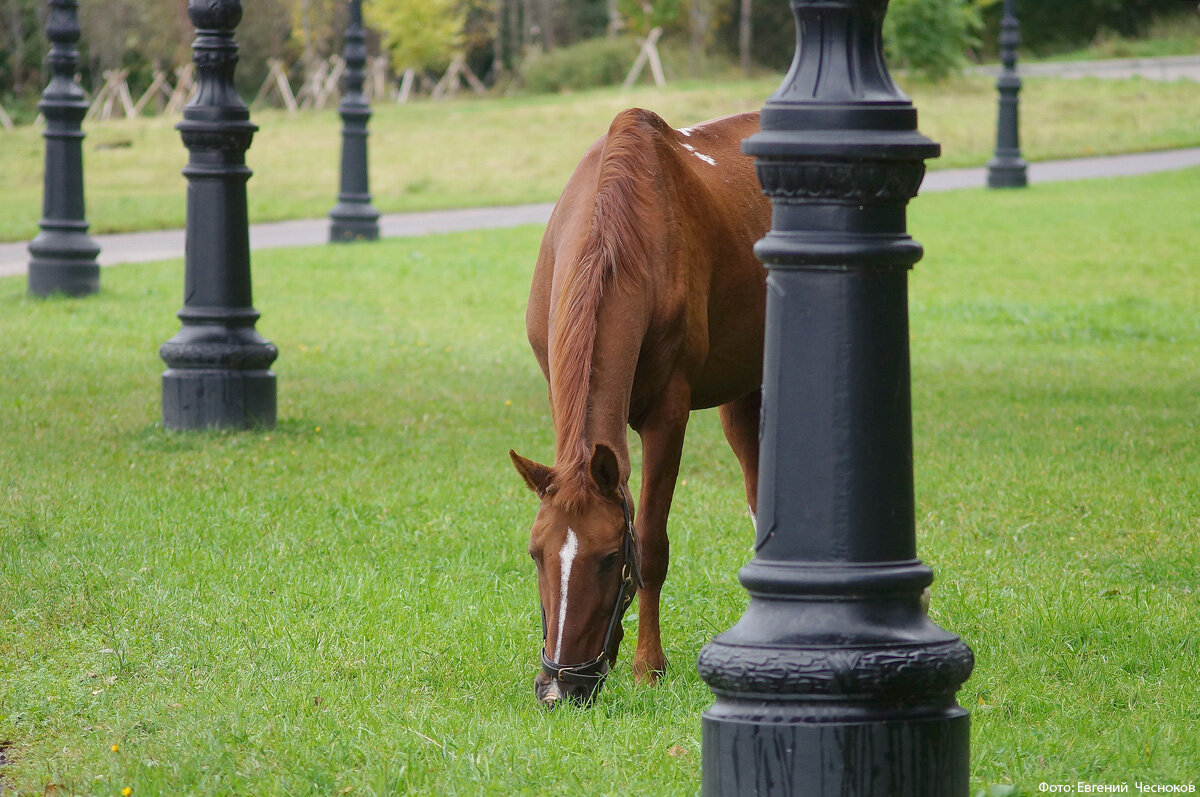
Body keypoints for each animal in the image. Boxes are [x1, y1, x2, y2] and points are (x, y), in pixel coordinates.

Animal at [506, 107, 768, 705]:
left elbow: (651, 541)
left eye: (608, 559)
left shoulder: (668, 415)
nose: (559, 688)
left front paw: (649, 665)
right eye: (535, 553)